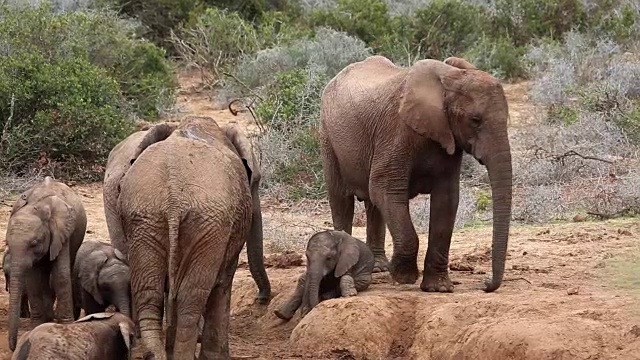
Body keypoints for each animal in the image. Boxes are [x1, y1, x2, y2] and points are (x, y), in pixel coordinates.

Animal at [5, 177, 87, 352]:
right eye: (7, 243)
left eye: (34, 243)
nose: (13, 348)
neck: (38, 206)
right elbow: (33, 280)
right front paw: (37, 326)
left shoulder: (62, 231)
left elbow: (60, 276)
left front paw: (66, 325)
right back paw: (48, 318)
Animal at [104, 121, 268, 304]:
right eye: (255, 180)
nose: (260, 299)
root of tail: (173, 202)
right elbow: (222, 283)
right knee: (191, 292)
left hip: (146, 218)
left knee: (150, 290)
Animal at [119, 116, 258, 360]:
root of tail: (173, 200)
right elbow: (223, 282)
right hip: (208, 226)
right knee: (191, 296)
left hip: (145, 220)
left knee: (150, 293)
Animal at [322, 55, 512, 292]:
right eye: (475, 120)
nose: (485, 284)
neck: (449, 78)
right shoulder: (396, 131)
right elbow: (385, 190)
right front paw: (403, 275)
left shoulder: (448, 140)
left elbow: (446, 200)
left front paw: (438, 288)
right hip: (328, 137)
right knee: (341, 199)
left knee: (373, 204)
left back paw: (378, 268)